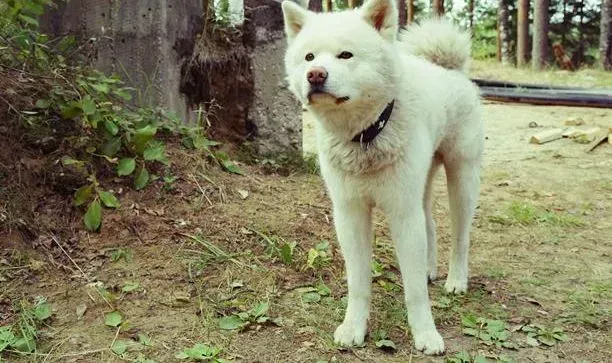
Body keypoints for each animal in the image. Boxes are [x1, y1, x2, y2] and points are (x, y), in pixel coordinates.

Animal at [280, 0, 482, 356]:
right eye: (309, 57)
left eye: (345, 55)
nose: (315, 74)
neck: (366, 136)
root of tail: (449, 69)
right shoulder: (351, 214)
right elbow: (358, 283)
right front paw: (353, 328)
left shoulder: (402, 213)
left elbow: (414, 291)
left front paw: (425, 334)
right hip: (421, 185)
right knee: (430, 223)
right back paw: (430, 268)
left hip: (462, 179)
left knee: (461, 236)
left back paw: (456, 280)